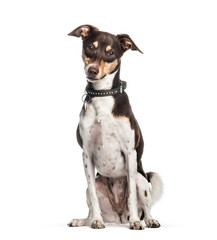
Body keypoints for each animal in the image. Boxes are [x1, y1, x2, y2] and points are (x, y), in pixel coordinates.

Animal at [68, 25, 163, 230]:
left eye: (110, 53)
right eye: (90, 47)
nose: (92, 70)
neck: (103, 94)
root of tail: (119, 218)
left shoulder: (130, 152)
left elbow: (132, 196)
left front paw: (135, 222)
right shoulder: (86, 154)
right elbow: (94, 198)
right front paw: (96, 221)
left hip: (141, 180)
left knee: (145, 207)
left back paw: (148, 220)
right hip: (94, 185)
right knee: (91, 204)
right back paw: (85, 220)